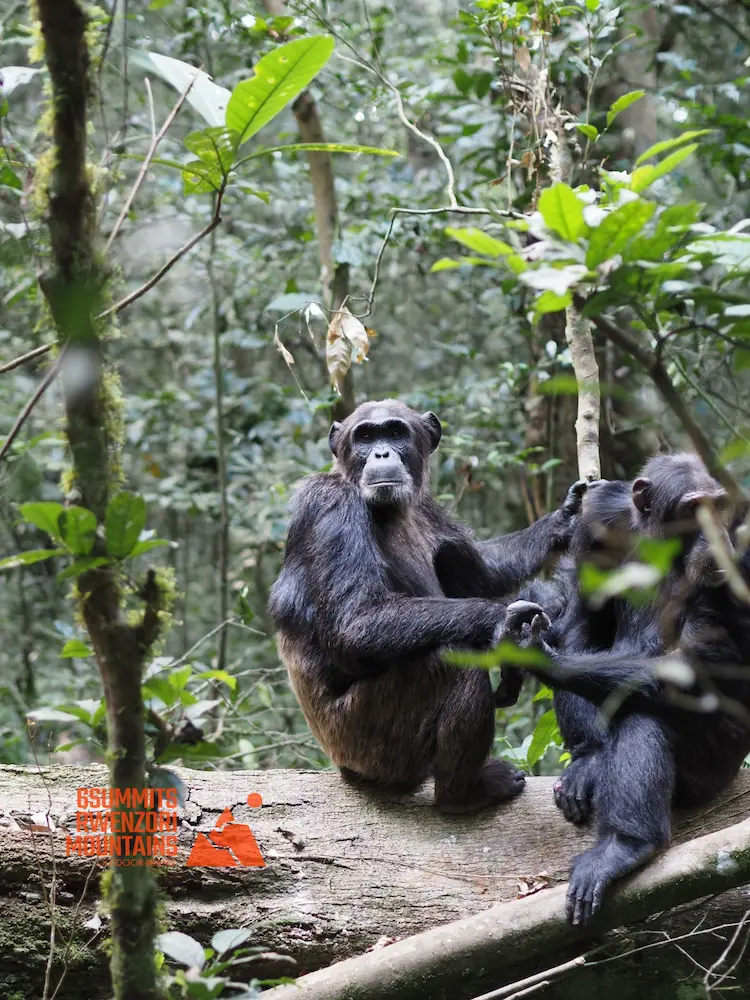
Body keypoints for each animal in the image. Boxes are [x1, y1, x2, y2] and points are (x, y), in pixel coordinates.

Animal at [269, 399, 591, 813]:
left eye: (396, 432)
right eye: (365, 436)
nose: (382, 453)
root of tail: (342, 766)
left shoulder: (430, 508)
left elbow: (485, 568)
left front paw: (565, 520)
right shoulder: (329, 504)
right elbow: (356, 621)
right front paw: (507, 625)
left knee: (453, 555)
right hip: (372, 746)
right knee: (453, 662)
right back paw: (465, 793)